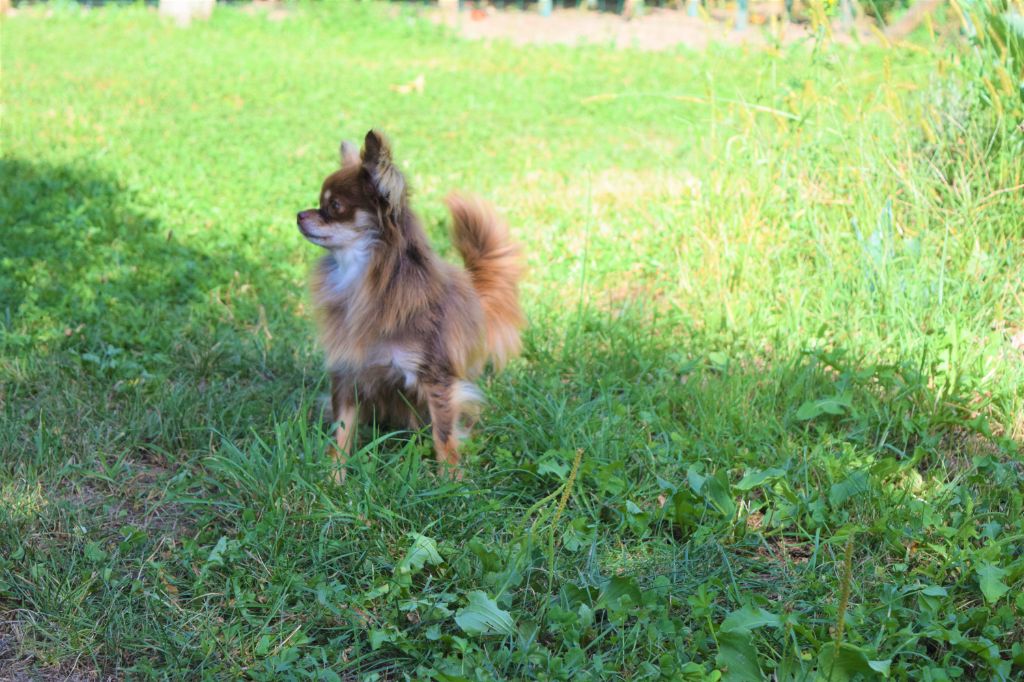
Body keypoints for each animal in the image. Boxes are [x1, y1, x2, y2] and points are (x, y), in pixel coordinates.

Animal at [294, 129, 520, 477]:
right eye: (320, 203)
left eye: (334, 206)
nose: (300, 215)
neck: (362, 279)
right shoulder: (347, 373)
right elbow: (341, 432)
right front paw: (333, 478)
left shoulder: (436, 378)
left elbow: (444, 434)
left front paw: (451, 480)